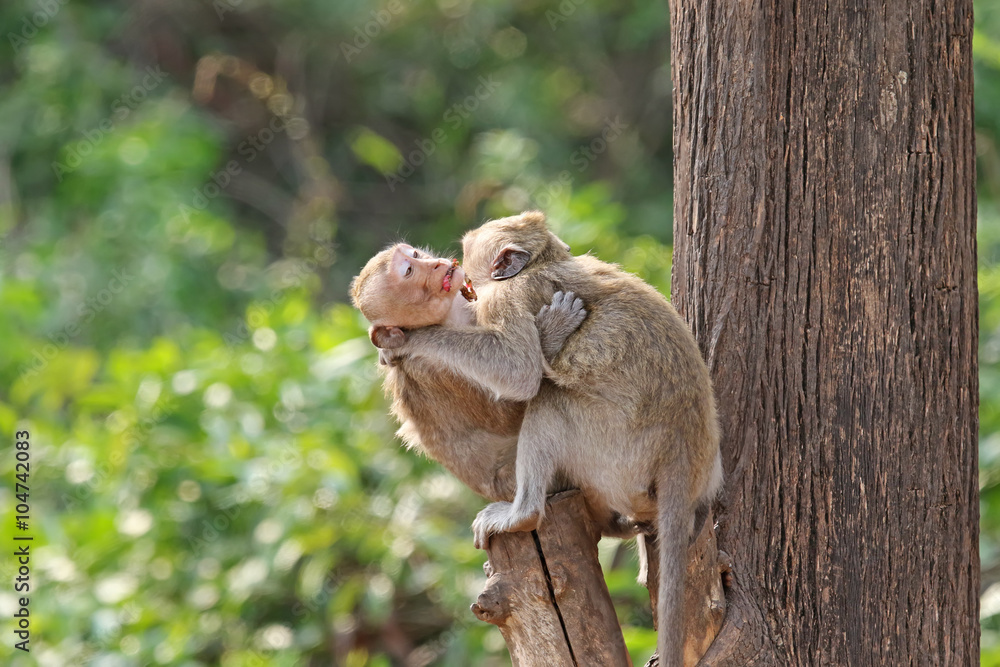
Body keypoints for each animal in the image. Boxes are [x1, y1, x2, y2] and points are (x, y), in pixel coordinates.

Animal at [349, 242, 587, 502]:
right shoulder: (430, 368)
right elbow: (512, 402)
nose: (435, 264)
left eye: (414, 255)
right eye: (409, 272)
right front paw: (553, 326)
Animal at [375, 211, 722, 667]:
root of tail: (682, 446)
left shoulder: (505, 299)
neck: (540, 264)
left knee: (549, 403)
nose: (457, 272)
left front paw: (415, 339)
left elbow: (518, 374)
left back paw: (522, 514)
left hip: (615, 452)